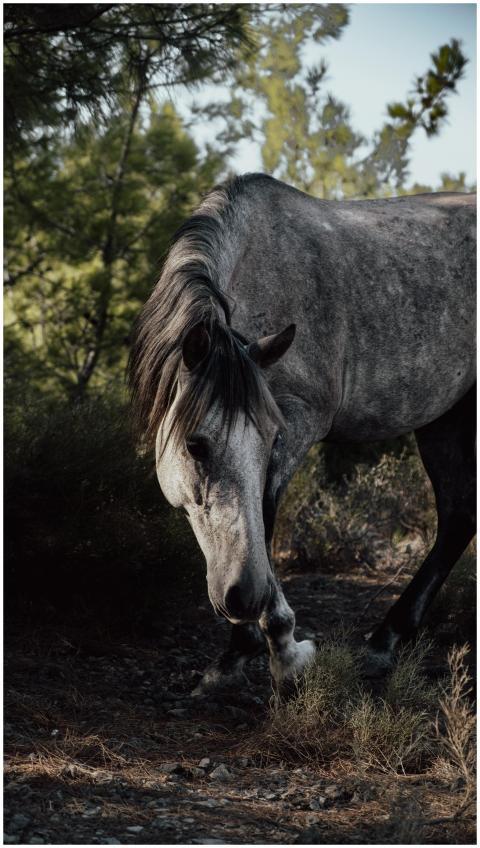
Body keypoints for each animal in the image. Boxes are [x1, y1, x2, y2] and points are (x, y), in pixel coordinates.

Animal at [129, 173, 476, 695]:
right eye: (195, 444)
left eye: (271, 437)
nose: (244, 596)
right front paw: (244, 651)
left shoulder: (298, 421)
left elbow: (264, 518)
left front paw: (277, 649)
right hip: (447, 418)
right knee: (458, 517)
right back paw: (385, 642)